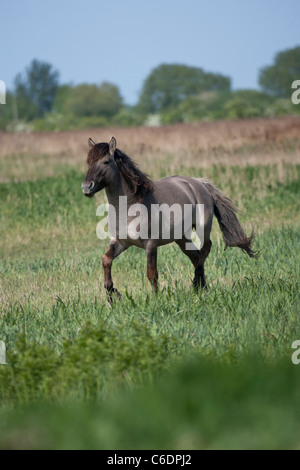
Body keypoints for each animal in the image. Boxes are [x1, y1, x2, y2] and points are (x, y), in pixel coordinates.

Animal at [81, 136, 255, 300]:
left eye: (106, 161)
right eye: (88, 162)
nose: (86, 187)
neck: (129, 207)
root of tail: (199, 183)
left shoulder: (151, 244)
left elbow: (152, 273)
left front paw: (156, 299)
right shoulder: (121, 242)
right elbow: (106, 260)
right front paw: (113, 294)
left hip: (202, 228)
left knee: (205, 249)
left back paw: (196, 282)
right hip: (181, 237)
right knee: (195, 256)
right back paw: (202, 287)